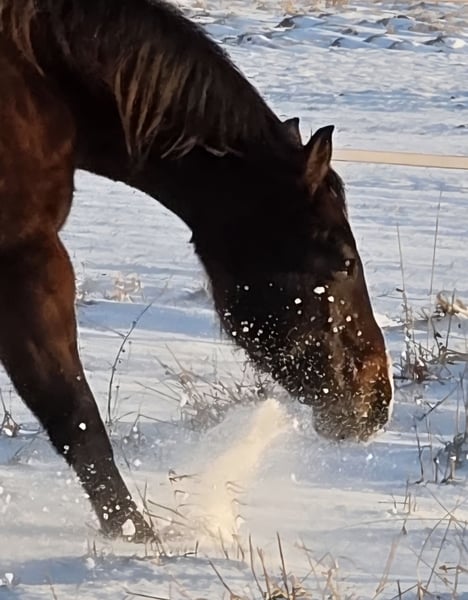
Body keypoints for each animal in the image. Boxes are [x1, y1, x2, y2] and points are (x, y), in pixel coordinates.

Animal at [0, 0, 393, 542]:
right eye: (345, 261)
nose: (378, 397)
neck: (42, 81)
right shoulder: (29, 258)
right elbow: (75, 417)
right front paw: (138, 540)